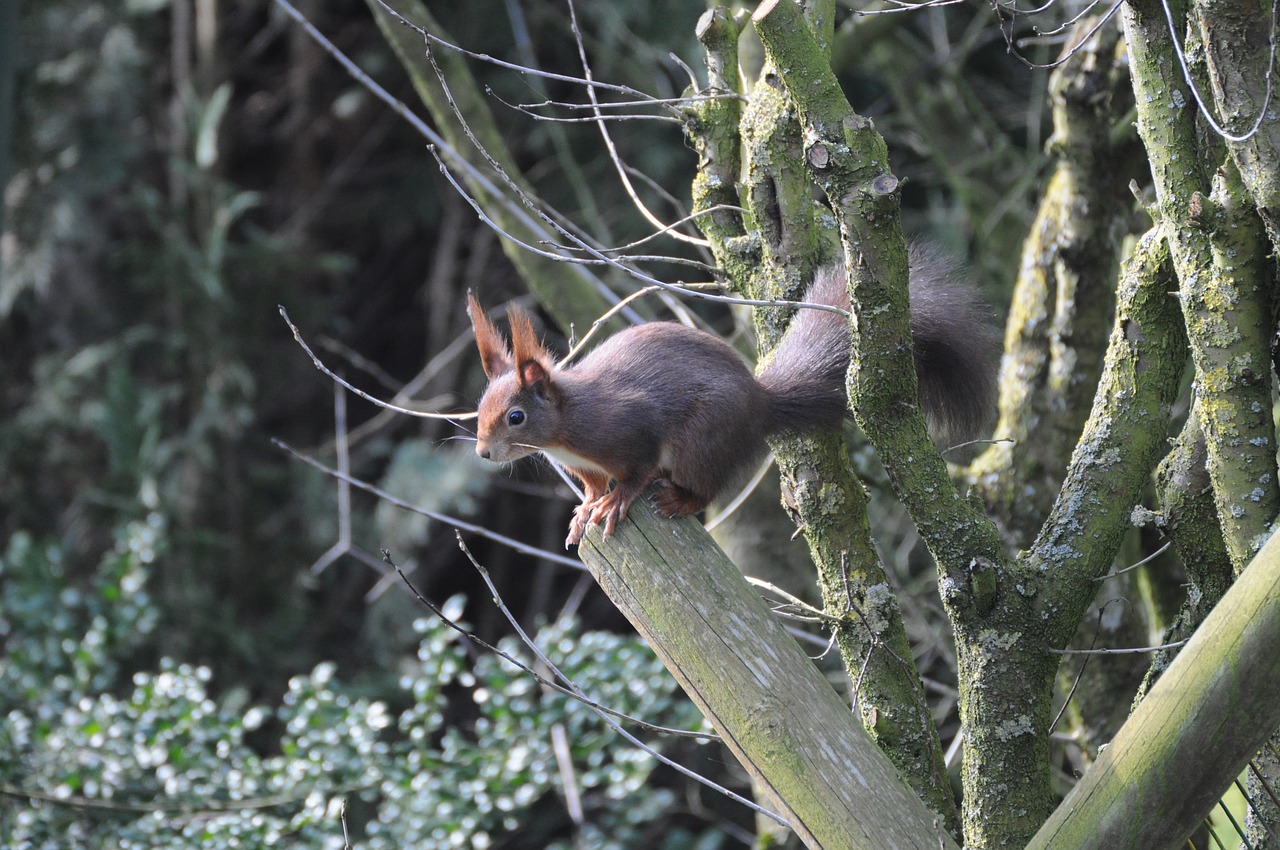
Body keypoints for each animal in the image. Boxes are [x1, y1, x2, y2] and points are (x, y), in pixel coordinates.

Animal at [465, 249, 993, 547]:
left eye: (515, 416)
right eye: (481, 409)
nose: (483, 453)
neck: (567, 429)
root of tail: (761, 406)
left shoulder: (629, 426)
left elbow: (635, 471)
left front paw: (616, 502)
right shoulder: (586, 466)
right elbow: (593, 486)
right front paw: (585, 511)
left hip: (703, 439)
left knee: (705, 487)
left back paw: (678, 499)